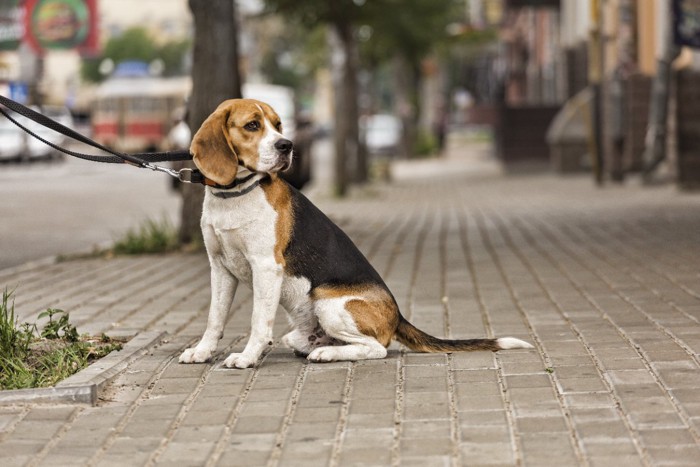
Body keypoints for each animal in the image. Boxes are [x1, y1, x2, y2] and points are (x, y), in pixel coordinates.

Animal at [178, 99, 532, 370]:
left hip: (326, 299)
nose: (286, 145)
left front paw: (248, 357)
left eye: (278, 125)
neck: (234, 195)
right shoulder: (220, 268)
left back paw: (327, 353)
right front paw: (202, 351)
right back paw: (318, 347)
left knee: (377, 347)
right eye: (252, 125)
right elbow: (215, 318)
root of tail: (397, 315)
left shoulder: (266, 267)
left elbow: (257, 320)